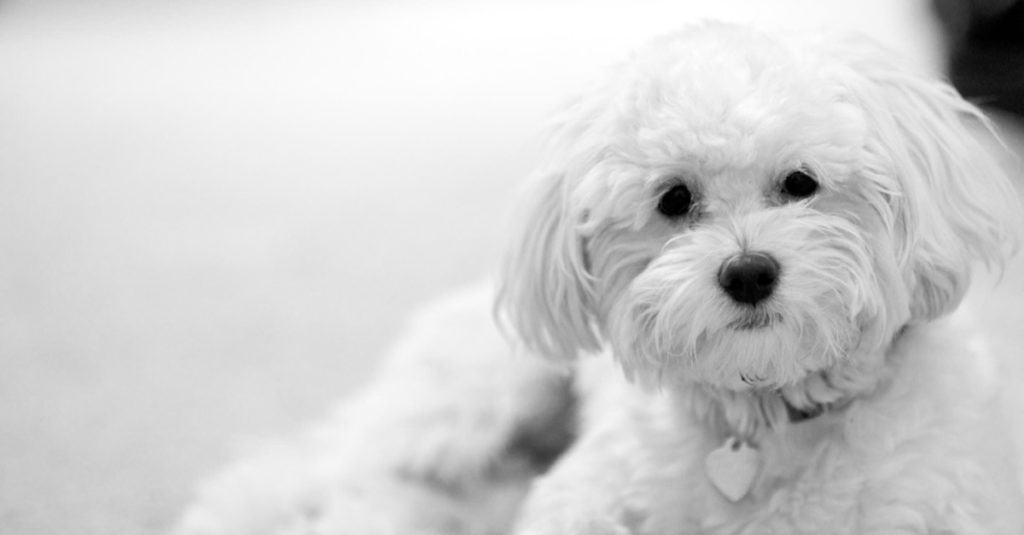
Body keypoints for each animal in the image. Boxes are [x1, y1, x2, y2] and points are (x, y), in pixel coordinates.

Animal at [176, 22, 1024, 532]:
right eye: (674, 199)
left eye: (801, 182)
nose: (749, 271)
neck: (763, 419)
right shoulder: (582, 493)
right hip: (480, 396)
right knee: (339, 472)